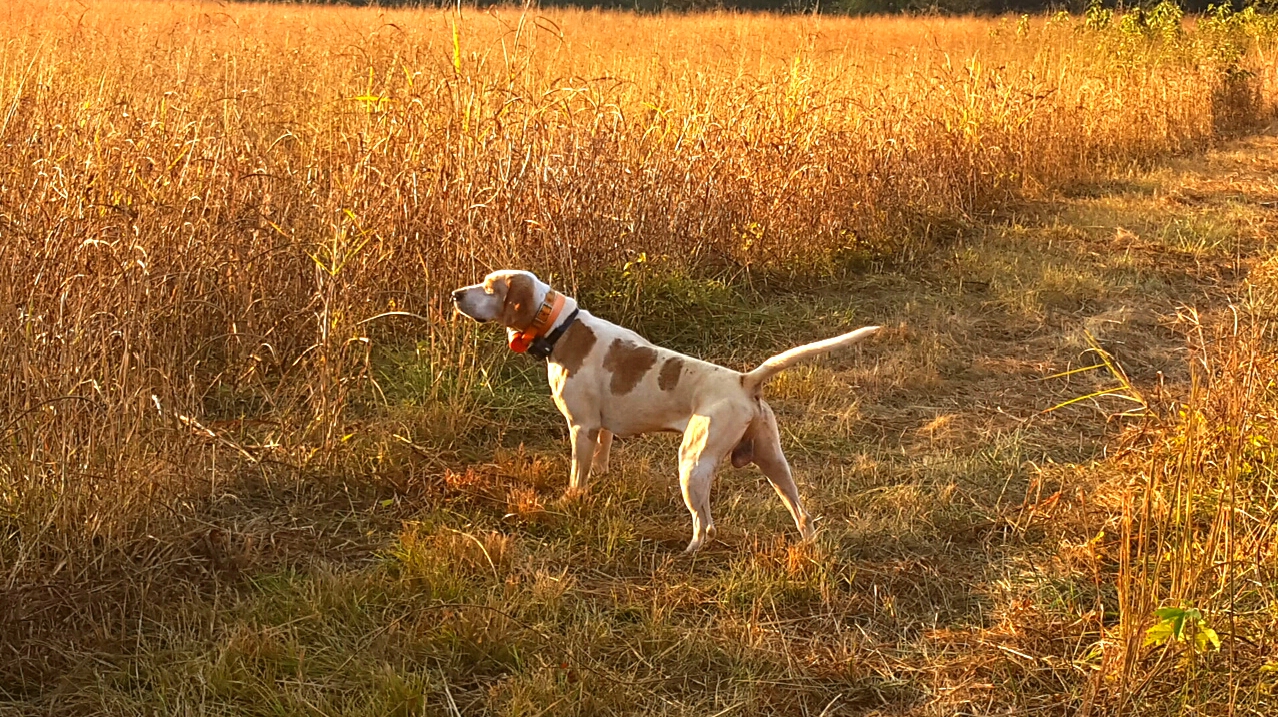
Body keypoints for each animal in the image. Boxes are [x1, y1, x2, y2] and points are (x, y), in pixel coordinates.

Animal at [452, 269, 879, 553]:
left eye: (490, 288)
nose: (456, 293)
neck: (560, 328)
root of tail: (744, 380)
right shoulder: (603, 431)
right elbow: (602, 463)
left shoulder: (582, 427)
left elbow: (577, 477)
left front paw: (569, 502)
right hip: (774, 462)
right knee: (802, 514)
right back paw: (807, 545)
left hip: (692, 463)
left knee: (706, 525)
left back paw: (687, 553)